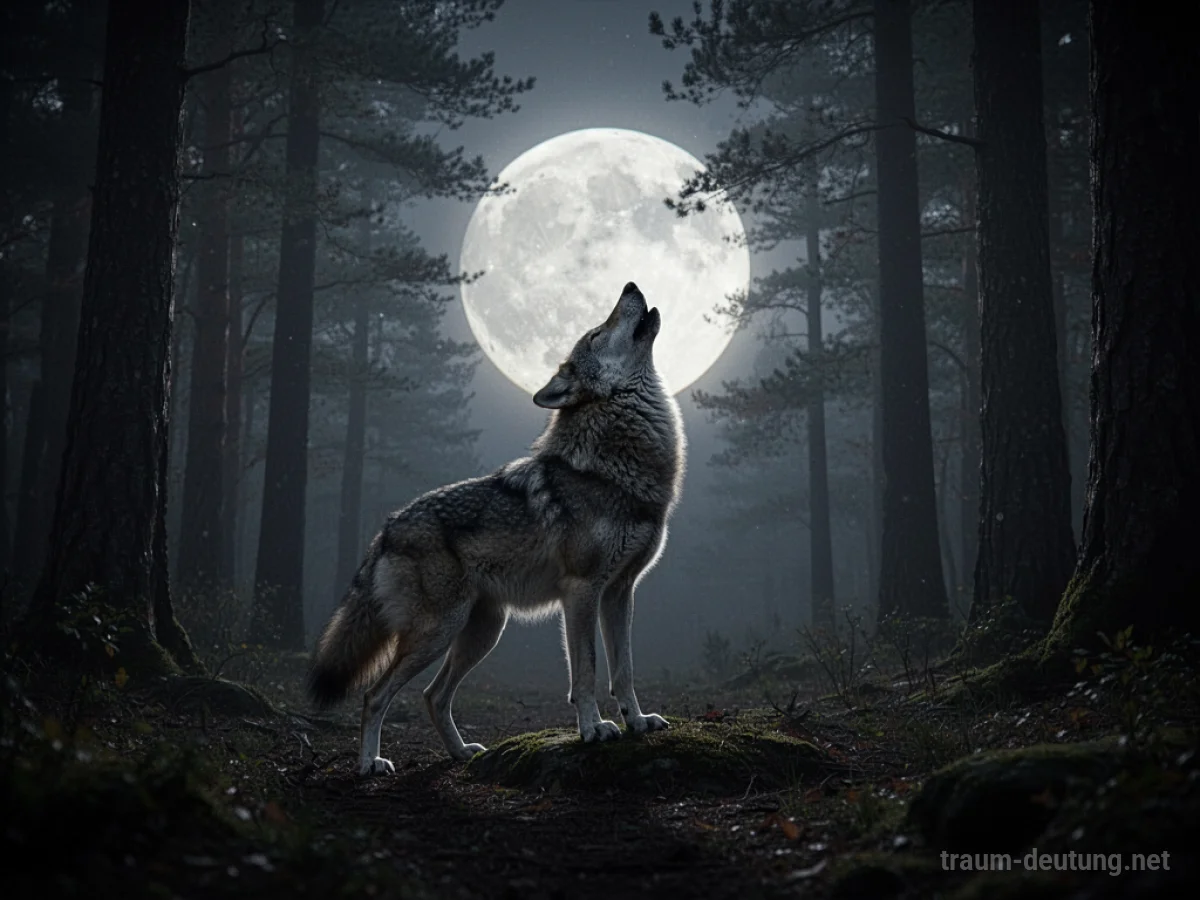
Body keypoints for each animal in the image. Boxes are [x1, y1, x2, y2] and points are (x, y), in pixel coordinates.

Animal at [306, 281, 686, 775]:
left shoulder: (620, 592)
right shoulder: (582, 591)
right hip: (439, 632)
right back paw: (371, 763)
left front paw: (638, 722)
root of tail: (384, 531)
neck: (617, 467)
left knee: (432, 696)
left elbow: (624, 670)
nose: (630, 285)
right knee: (375, 695)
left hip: (483, 631)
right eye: (598, 332)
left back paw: (461, 752)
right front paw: (594, 729)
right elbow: (586, 670)